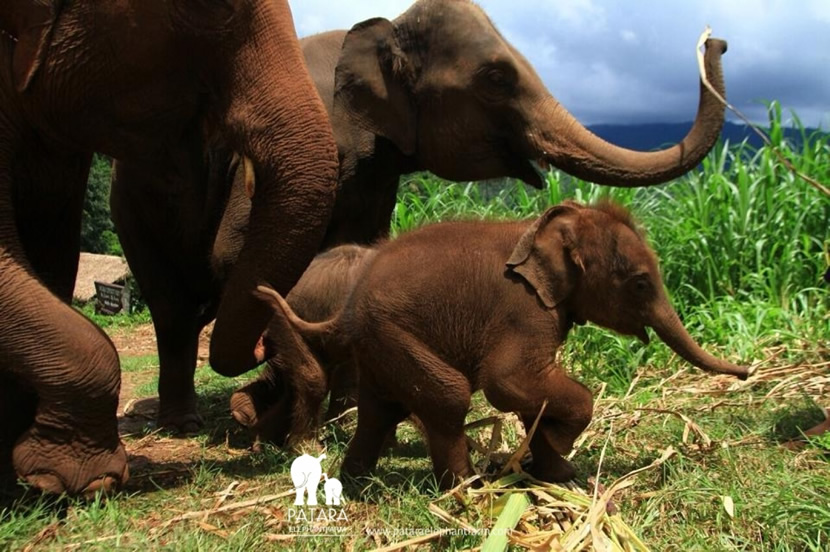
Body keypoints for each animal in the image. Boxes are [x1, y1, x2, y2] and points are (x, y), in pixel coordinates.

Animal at [0, 0, 340, 496]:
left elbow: (52, 249)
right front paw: (72, 479)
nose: (261, 348)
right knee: (170, 308)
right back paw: (180, 425)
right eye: (209, 7)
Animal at [256, 202, 752, 488]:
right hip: (393, 335)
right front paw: (556, 444)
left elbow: (530, 390)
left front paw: (556, 470)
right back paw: (467, 486)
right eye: (641, 284)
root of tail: (349, 307)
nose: (748, 371)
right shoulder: (524, 309)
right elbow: (508, 382)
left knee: (380, 409)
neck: (540, 230)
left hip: (380, 345)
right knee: (450, 396)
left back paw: (354, 481)